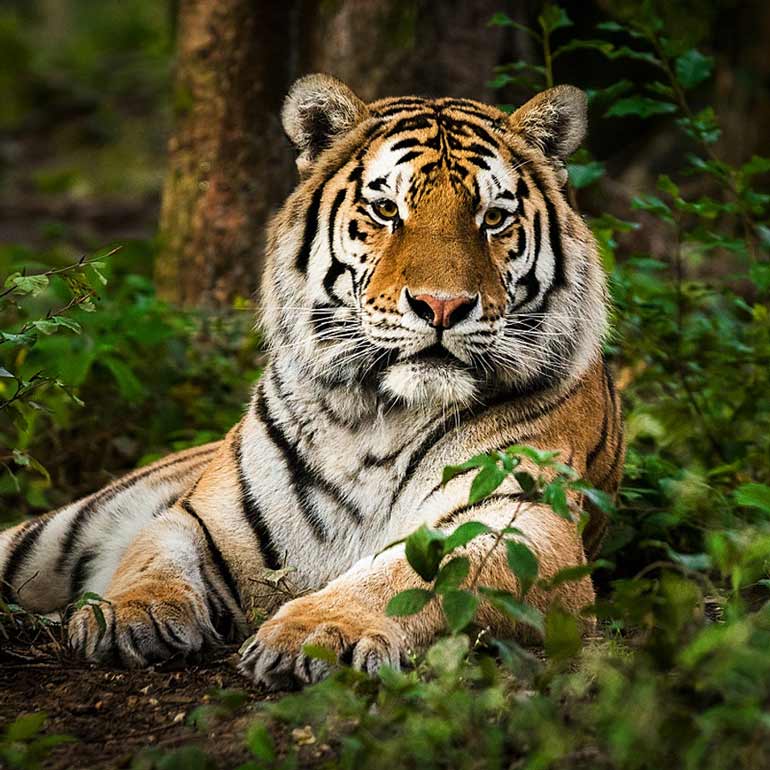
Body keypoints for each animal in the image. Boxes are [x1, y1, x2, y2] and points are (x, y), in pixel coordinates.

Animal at [0, 74, 624, 689]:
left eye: (493, 218)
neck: (379, 416)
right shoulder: (200, 516)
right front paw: (128, 613)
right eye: (385, 209)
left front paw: (318, 634)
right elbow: (152, 556)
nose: (442, 306)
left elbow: (412, 579)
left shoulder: (522, 523)